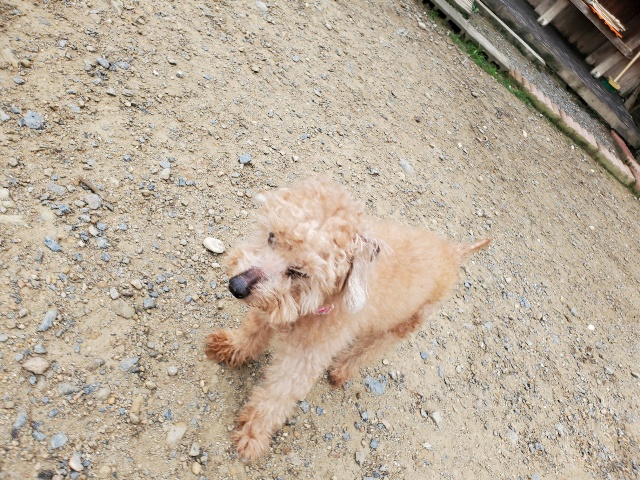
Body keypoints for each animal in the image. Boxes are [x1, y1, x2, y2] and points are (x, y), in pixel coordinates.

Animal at [205, 177, 490, 461]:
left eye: (299, 272)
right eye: (271, 236)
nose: (236, 286)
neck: (318, 302)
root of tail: (453, 252)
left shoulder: (304, 355)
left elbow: (277, 395)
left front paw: (253, 433)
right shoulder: (272, 306)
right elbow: (251, 332)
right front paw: (231, 347)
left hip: (405, 323)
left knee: (371, 348)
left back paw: (342, 370)